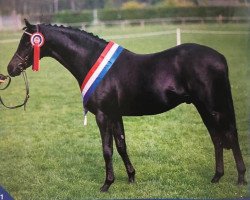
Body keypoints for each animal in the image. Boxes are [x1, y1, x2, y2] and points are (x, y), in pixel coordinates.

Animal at [7, 19, 246, 191]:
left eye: (28, 42)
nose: (11, 68)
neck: (93, 61)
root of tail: (220, 57)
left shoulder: (102, 115)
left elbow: (107, 149)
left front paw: (106, 184)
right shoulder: (115, 115)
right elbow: (121, 145)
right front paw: (131, 177)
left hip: (214, 106)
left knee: (230, 135)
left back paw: (241, 178)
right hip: (203, 107)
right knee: (217, 138)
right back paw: (216, 177)